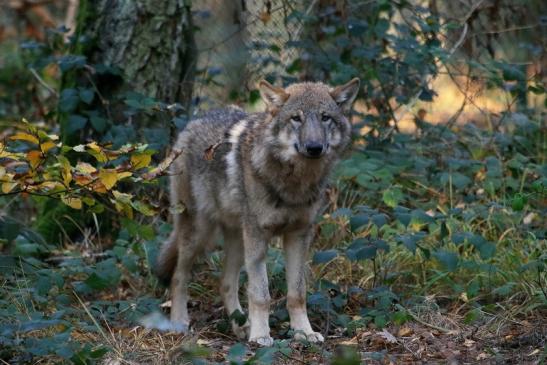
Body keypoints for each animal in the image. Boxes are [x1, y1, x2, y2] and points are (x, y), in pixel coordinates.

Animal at [155, 78, 360, 346]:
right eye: (296, 118)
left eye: (325, 117)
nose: (314, 147)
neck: (294, 183)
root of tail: (191, 123)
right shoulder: (258, 236)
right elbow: (261, 294)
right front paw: (261, 335)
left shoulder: (298, 235)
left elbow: (297, 293)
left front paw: (303, 332)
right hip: (200, 233)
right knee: (179, 277)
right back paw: (180, 322)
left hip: (238, 240)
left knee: (225, 283)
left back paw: (241, 326)